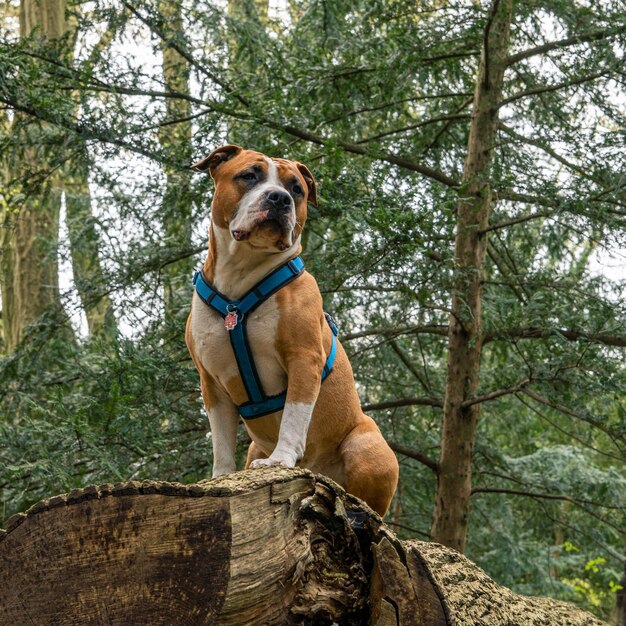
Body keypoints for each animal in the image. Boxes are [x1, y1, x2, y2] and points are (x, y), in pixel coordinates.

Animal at [185, 144, 398, 516]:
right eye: (249, 175)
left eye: (296, 189)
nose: (279, 198)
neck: (240, 283)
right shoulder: (211, 382)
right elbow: (222, 439)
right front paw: (220, 476)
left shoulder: (303, 360)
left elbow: (294, 416)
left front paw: (280, 459)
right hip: (254, 446)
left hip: (364, 445)